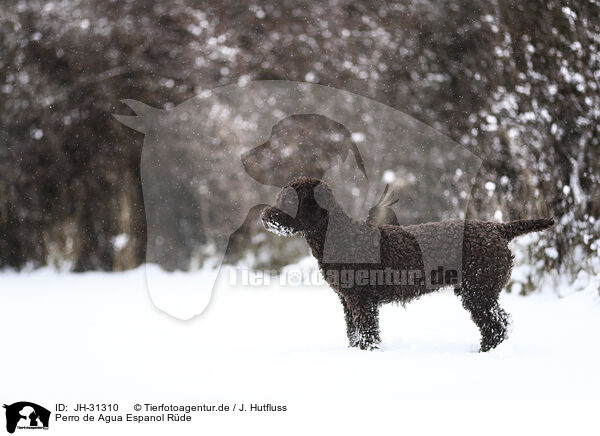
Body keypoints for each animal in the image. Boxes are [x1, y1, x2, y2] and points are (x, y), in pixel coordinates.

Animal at [260, 177, 556, 350]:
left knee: (496, 325)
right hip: (479, 291)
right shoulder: (348, 300)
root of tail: (498, 228)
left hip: (478, 291)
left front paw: (368, 353)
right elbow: (353, 331)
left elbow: (367, 332)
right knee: (499, 323)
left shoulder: (362, 300)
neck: (342, 236)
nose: (264, 216)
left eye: (288, 200)